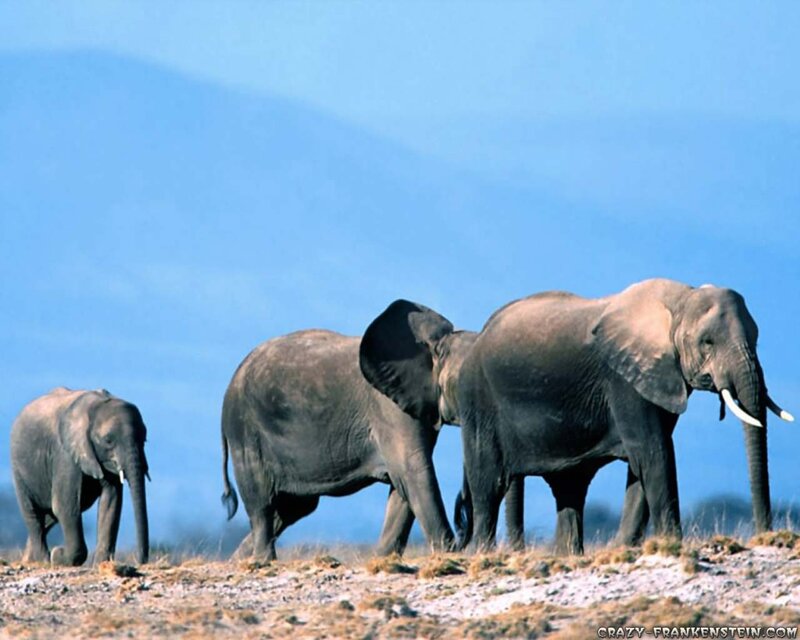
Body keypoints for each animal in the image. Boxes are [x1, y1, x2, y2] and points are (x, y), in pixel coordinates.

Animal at [10, 387, 150, 566]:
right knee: (33, 515)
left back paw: (28, 560)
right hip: (19, 470)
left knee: (48, 518)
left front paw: (100, 564)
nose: (139, 561)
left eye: (144, 438)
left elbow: (111, 502)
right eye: (108, 440)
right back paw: (44, 560)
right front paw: (58, 555)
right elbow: (65, 505)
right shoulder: (64, 454)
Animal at [220, 327, 457, 562]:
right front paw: (449, 554)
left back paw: (241, 561)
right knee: (262, 503)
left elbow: (404, 483)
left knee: (291, 509)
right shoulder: (391, 408)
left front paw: (382, 558)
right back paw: (263, 561)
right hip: (247, 433)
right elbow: (411, 470)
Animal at [360, 279, 792, 555]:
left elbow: (646, 460)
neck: (679, 299)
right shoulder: (624, 380)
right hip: (480, 401)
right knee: (489, 484)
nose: (765, 532)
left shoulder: (655, 378)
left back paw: (569, 554)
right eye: (707, 342)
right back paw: (482, 554)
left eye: (756, 336)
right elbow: (653, 453)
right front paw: (670, 544)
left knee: (570, 489)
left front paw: (626, 547)